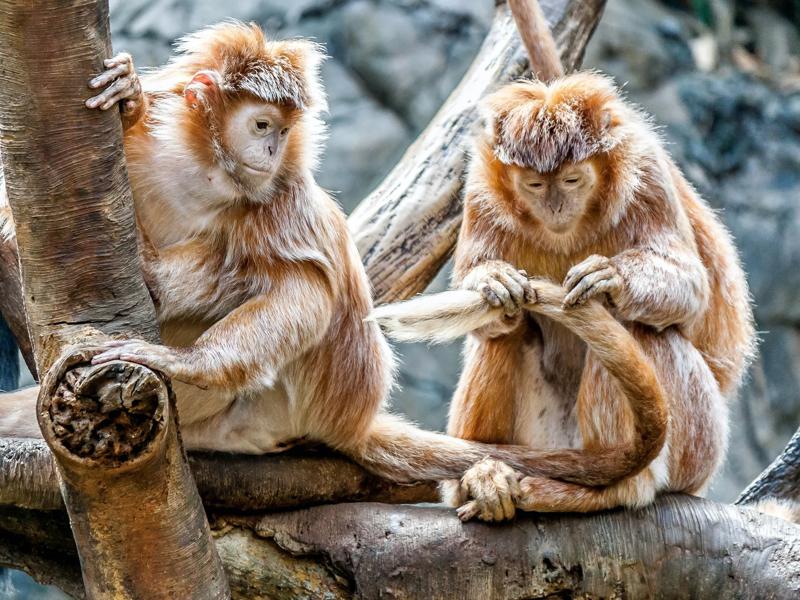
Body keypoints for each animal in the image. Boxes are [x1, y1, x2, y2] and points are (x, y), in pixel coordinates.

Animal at [368, 14, 756, 516]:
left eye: (572, 180)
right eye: (535, 184)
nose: (554, 205)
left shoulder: (647, 172)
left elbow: (691, 290)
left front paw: (612, 278)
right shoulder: (479, 187)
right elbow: (488, 308)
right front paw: (493, 280)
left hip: (700, 442)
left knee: (640, 329)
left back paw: (620, 485)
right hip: (543, 439)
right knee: (507, 331)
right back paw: (481, 476)